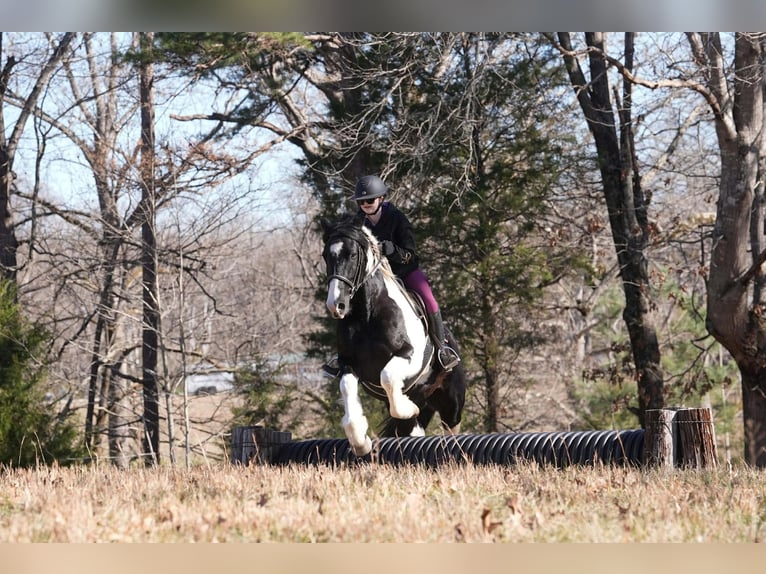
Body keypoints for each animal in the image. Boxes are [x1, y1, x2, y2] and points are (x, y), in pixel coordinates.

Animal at [321, 214, 467, 457]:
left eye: (352, 255)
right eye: (325, 256)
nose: (337, 305)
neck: (367, 314)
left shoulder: (409, 355)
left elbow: (387, 377)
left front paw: (408, 407)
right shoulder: (348, 365)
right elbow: (348, 389)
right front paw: (360, 442)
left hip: (451, 402)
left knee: (451, 427)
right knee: (413, 427)